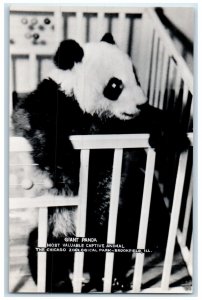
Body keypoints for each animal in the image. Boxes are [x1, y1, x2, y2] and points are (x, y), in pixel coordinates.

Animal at [12, 32, 189, 292]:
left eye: (136, 76)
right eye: (115, 85)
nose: (140, 102)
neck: (96, 116)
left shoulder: (123, 124)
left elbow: (149, 119)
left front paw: (170, 134)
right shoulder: (55, 100)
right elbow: (33, 120)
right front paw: (68, 164)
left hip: (118, 220)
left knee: (119, 247)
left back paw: (111, 277)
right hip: (55, 221)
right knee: (43, 250)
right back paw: (59, 284)